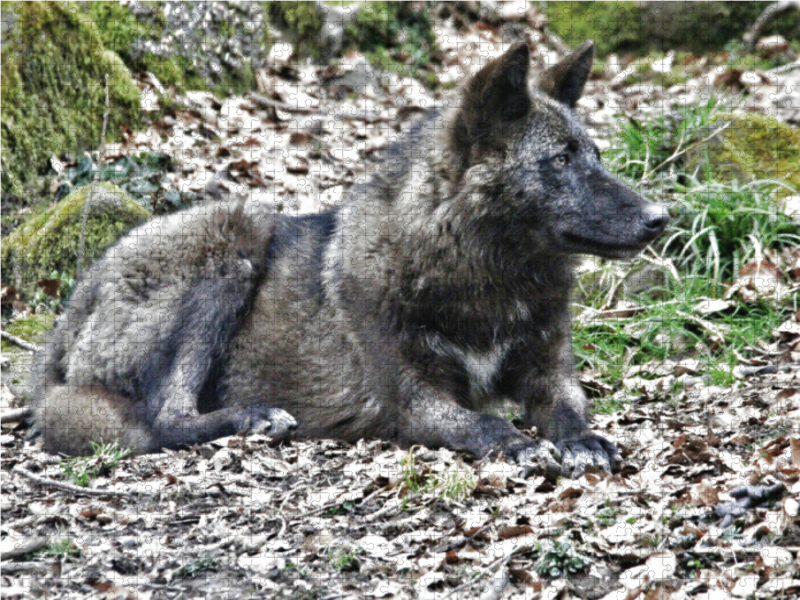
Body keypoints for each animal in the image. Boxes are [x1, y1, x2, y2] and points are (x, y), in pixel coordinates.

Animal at [31, 41, 668, 478]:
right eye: (560, 160)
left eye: (596, 155)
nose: (660, 217)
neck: (486, 281)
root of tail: (66, 318)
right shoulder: (416, 400)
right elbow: (483, 420)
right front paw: (518, 443)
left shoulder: (548, 370)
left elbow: (569, 408)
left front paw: (582, 440)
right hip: (235, 234)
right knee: (166, 418)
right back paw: (254, 417)